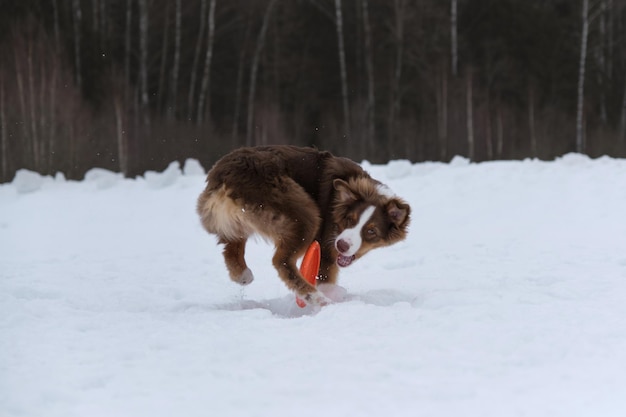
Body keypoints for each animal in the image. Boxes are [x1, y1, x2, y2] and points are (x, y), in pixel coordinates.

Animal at [196, 146, 410, 306]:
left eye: (371, 231)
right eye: (350, 220)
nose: (341, 245)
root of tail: (223, 175)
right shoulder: (326, 245)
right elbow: (326, 277)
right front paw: (334, 296)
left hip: (238, 218)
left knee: (231, 246)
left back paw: (242, 275)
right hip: (302, 210)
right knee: (281, 261)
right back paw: (314, 297)